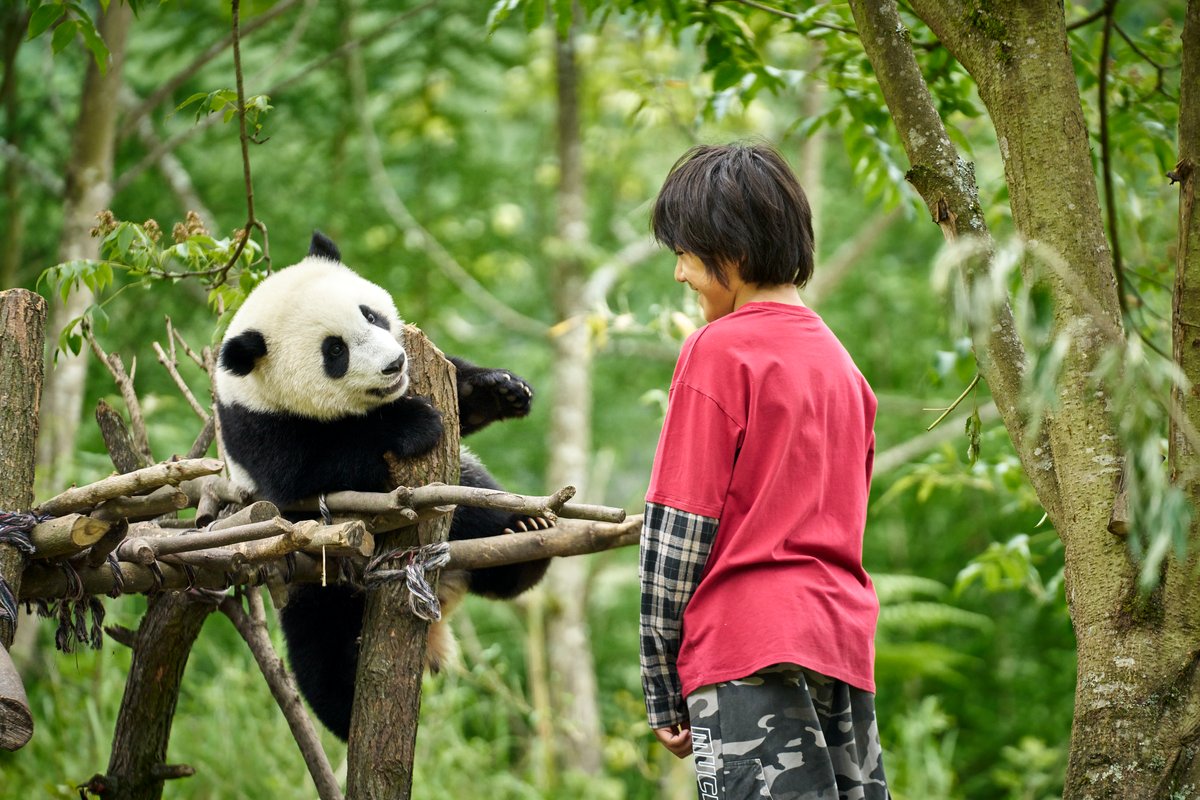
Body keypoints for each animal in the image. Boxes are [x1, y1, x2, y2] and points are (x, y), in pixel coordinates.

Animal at [214, 231, 550, 740]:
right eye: (335, 351)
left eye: (370, 314)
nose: (394, 364)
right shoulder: (258, 428)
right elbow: (312, 467)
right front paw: (413, 423)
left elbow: (459, 396)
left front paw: (502, 389)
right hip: (312, 568)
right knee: (322, 645)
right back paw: (347, 708)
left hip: (467, 507)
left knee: (480, 516)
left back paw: (525, 535)